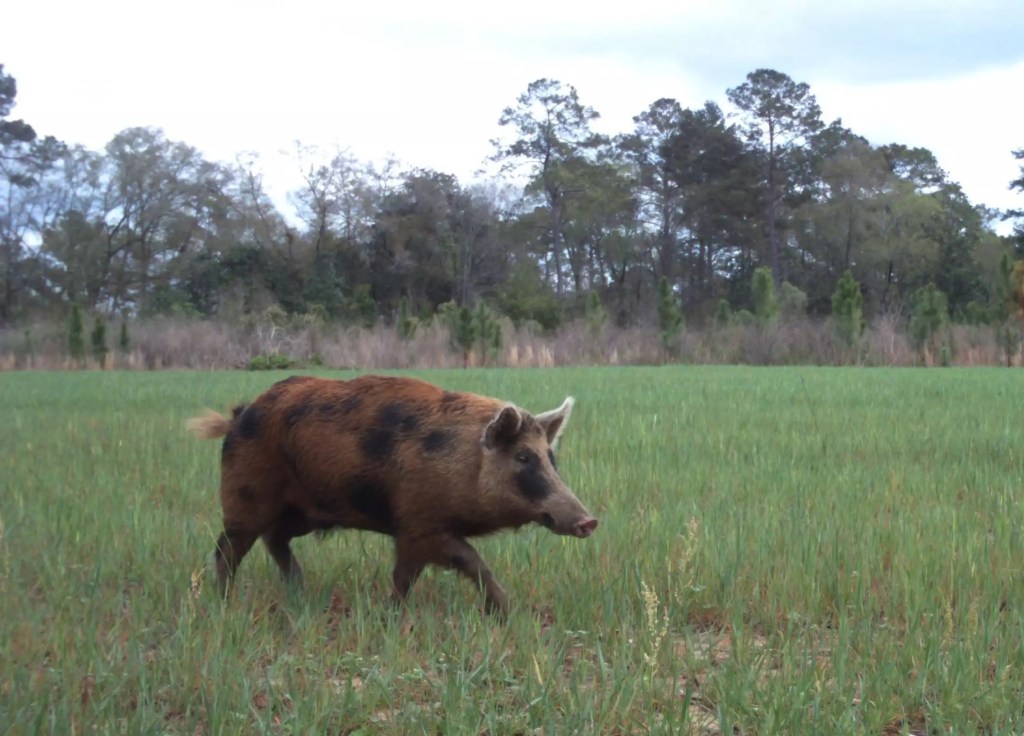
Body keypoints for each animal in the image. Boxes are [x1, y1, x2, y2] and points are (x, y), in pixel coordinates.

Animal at [187, 374, 598, 615]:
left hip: (303, 512)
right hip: (244, 498)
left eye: (551, 458)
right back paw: (225, 602)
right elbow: (460, 563)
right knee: (227, 550)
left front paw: (508, 613)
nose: (589, 520)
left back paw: (299, 590)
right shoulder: (418, 524)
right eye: (524, 457)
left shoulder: (416, 529)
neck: (462, 464)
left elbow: (419, 572)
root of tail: (240, 414)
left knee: (274, 539)